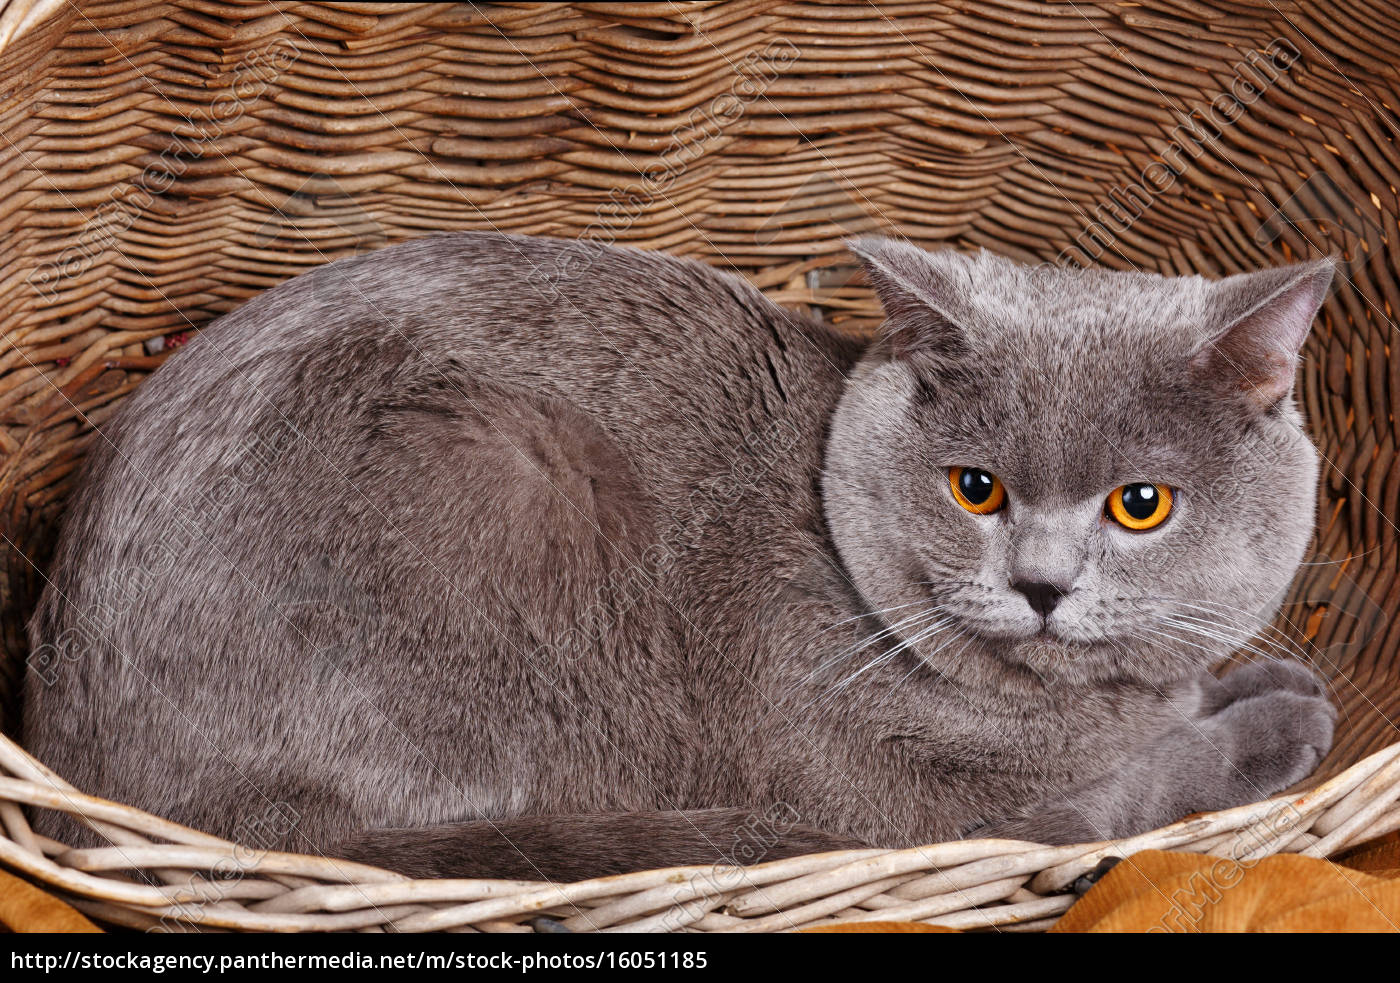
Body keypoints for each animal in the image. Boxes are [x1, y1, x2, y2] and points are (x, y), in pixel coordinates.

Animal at [19, 235, 1332, 879]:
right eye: (976, 488)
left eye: (1139, 504)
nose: (1043, 584)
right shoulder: (897, 801)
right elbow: (1114, 796)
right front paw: (1277, 721)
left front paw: (1255, 680)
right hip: (505, 478)